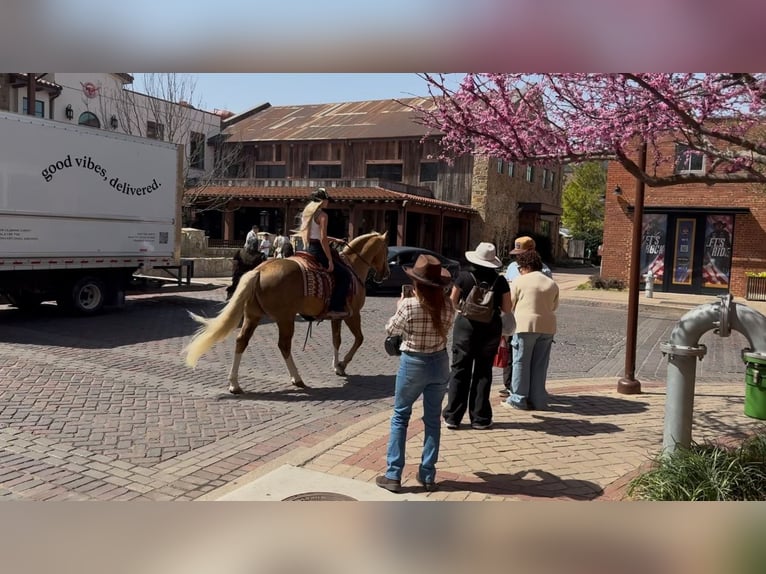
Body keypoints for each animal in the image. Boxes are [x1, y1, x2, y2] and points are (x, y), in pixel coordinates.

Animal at [184, 232, 390, 394]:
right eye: (386, 250)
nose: (386, 274)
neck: (352, 267)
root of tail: (260, 270)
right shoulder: (354, 314)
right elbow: (359, 339)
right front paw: (343, 364)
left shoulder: (337, 317)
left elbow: (336, 340)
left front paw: (336, 366)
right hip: (285, 319)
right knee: (283, 345)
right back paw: (297, 378)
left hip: (253, 316)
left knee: (242, 341)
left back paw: (234, 384)